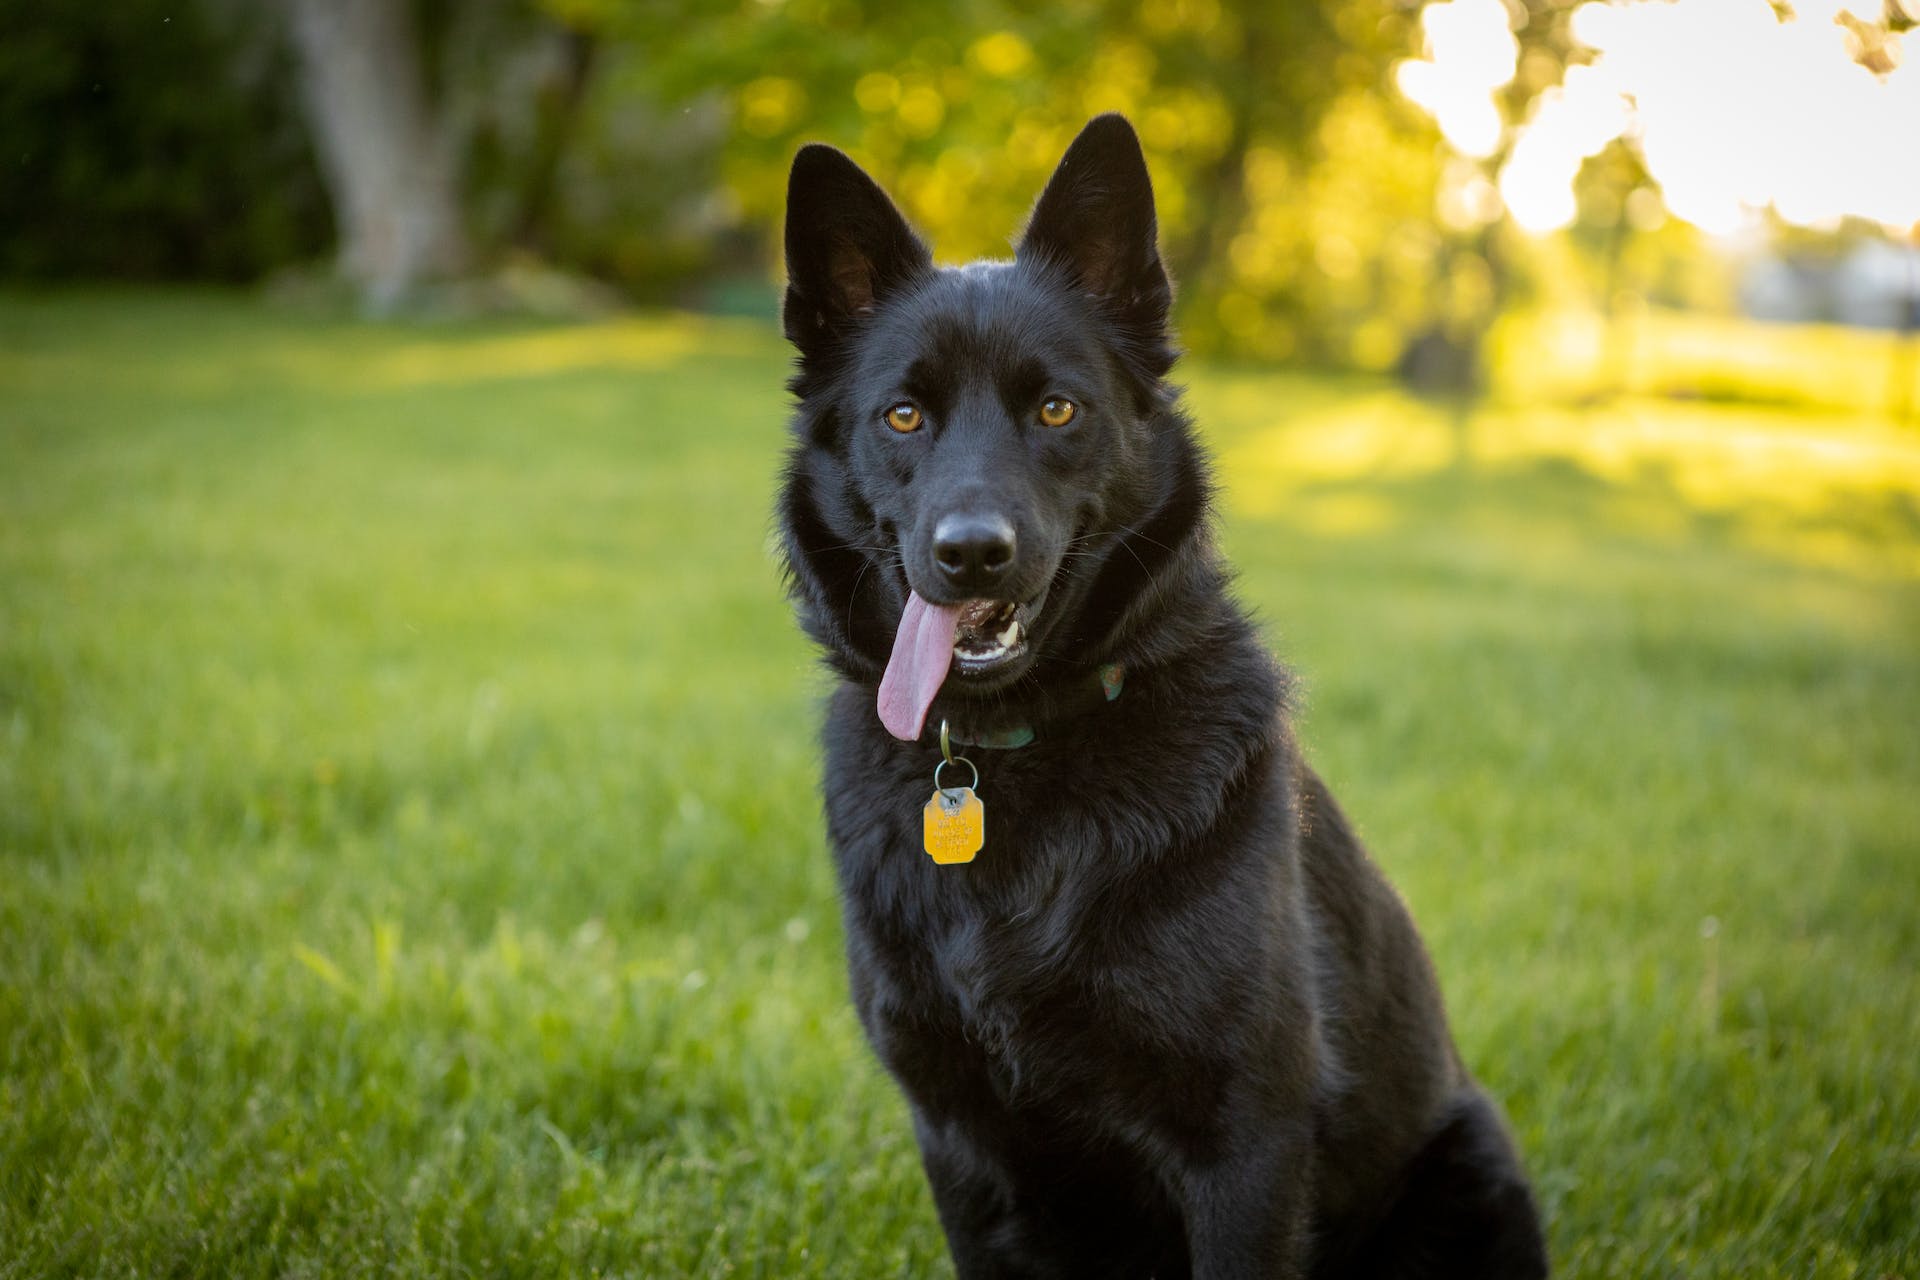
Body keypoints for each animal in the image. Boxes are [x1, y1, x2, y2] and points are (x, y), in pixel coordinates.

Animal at [775, 115, 1543, 1274]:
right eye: (902, 416)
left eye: (1058, 408)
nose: (972, 554)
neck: (1008, 761)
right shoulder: (960, 1143)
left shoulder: (1245, 1146)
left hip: (1473, 1160)